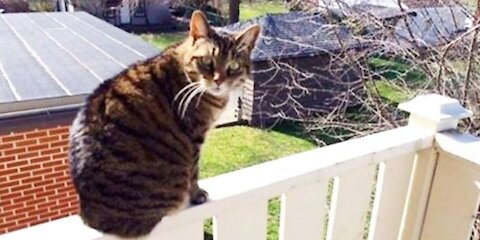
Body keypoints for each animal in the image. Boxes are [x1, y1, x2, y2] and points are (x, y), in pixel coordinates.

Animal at [69, 10, 260, 238]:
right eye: (207, 61)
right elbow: (194, 171)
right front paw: (197, 194)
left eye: (234, 66)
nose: (218, 80)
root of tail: (88, 214)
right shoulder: (194, 136)